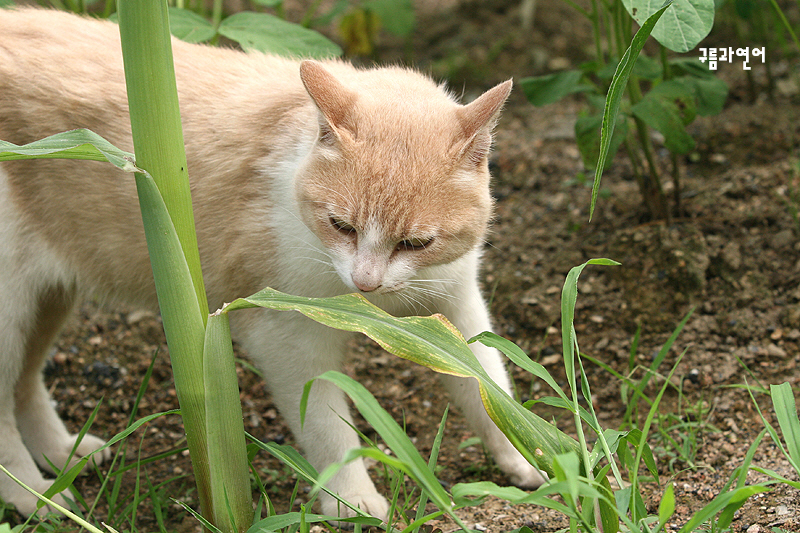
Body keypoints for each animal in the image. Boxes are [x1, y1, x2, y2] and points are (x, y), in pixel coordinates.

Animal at [0, 5, 544, 520]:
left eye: (415, 243)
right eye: (341, 226)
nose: (365, 283)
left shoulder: (455, 310)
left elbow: (488, 387)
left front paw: (535, 457)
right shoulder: (286, 336)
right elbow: (326, 426)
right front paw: (352, 499)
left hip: (49, 298)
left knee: (24, 382)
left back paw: (62, 454)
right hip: (11, 309)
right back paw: (35, 496)